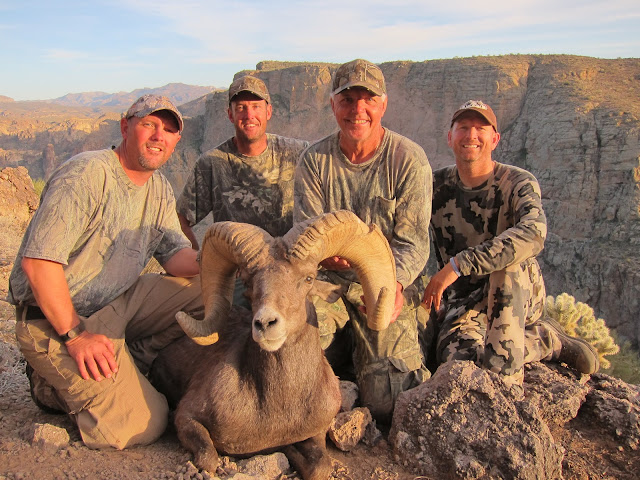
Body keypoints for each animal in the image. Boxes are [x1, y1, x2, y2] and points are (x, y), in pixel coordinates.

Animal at [149, 210, 397, 480]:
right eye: (248, 283)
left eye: (309, 278)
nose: (265, 323)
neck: (279, 403)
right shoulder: (187, 418)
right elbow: (208, 459)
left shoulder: (317, 434)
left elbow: (319, 467)